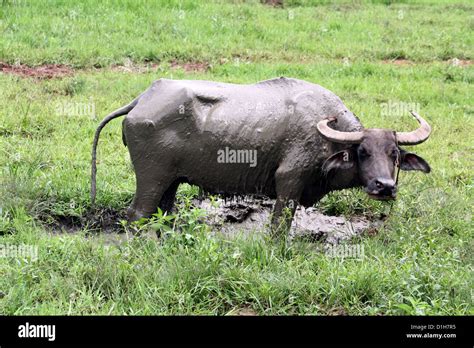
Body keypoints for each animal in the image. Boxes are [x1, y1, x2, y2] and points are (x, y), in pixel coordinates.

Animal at [90, 77, 432, 232]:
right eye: (362, 151)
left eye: (394, 154)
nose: (385, 187)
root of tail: (142, 99)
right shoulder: (289, 181)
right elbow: (279, 227)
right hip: (151, 178)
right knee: (137, 215)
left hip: (171, 181)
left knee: (164, 212)